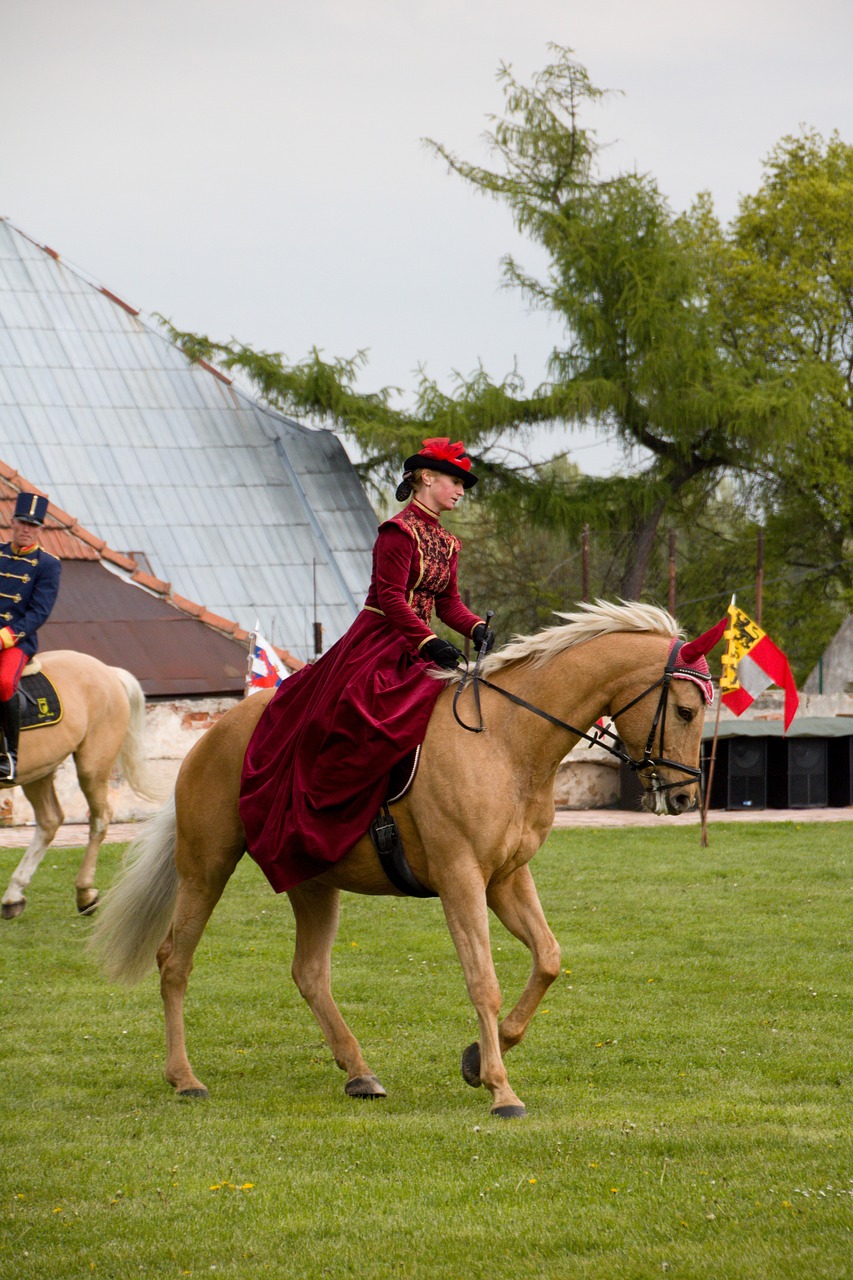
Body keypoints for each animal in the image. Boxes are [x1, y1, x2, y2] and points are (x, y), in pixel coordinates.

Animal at [2, 650, 159, 921]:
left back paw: (85, 895)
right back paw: (14, 896)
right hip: (38, 770)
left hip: (92, 767)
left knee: (99, 818)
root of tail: (106, 670)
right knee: (50, 820)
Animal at [89, 604, 706, 1116]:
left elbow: (549, 959)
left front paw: (477, 1060)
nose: (683, 799)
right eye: (683, 710)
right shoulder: (462, 879)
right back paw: (185, 1079)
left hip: (312, 881)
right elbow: (483, 981)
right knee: (175, 961)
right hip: (206, 867)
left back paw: (359, 1072)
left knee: (309, 973)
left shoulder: (506, 878)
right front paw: (501, 1091)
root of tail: (215, 735)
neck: (506, 740)